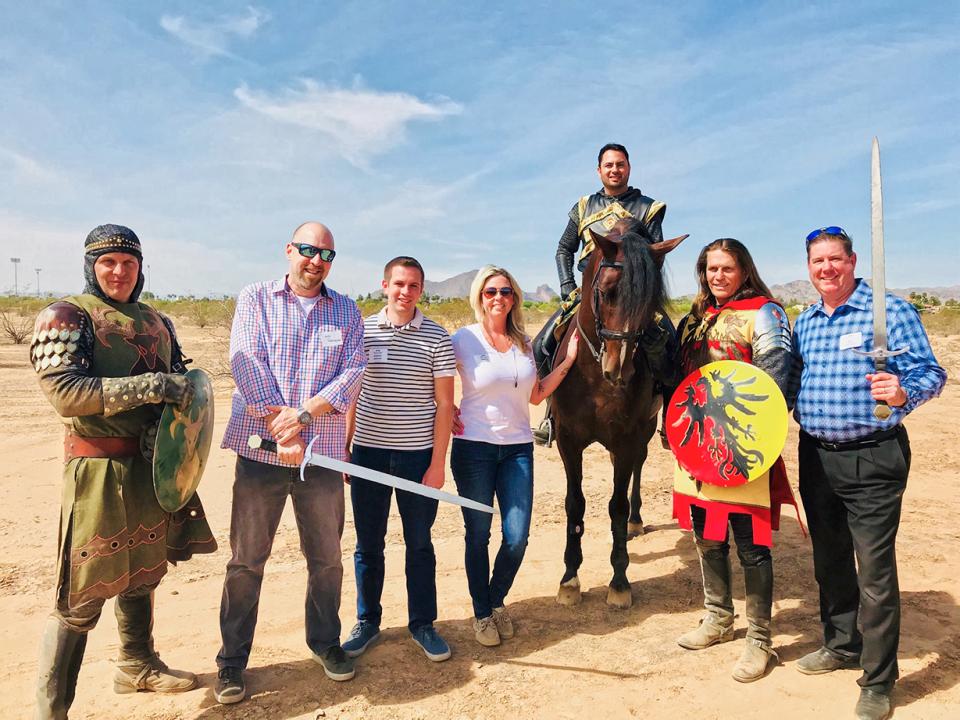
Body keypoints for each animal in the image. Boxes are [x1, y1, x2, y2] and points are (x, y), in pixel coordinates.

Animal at [552, 221, 688, 608]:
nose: (619, 369)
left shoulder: (627, 438)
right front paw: (569, 579)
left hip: (643, 433)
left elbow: (616, 506)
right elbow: (575, 504)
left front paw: (619, 582)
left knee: (636, 473)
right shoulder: (568, 440)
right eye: (607, 291)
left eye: (650, 300)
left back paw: (636, 522)